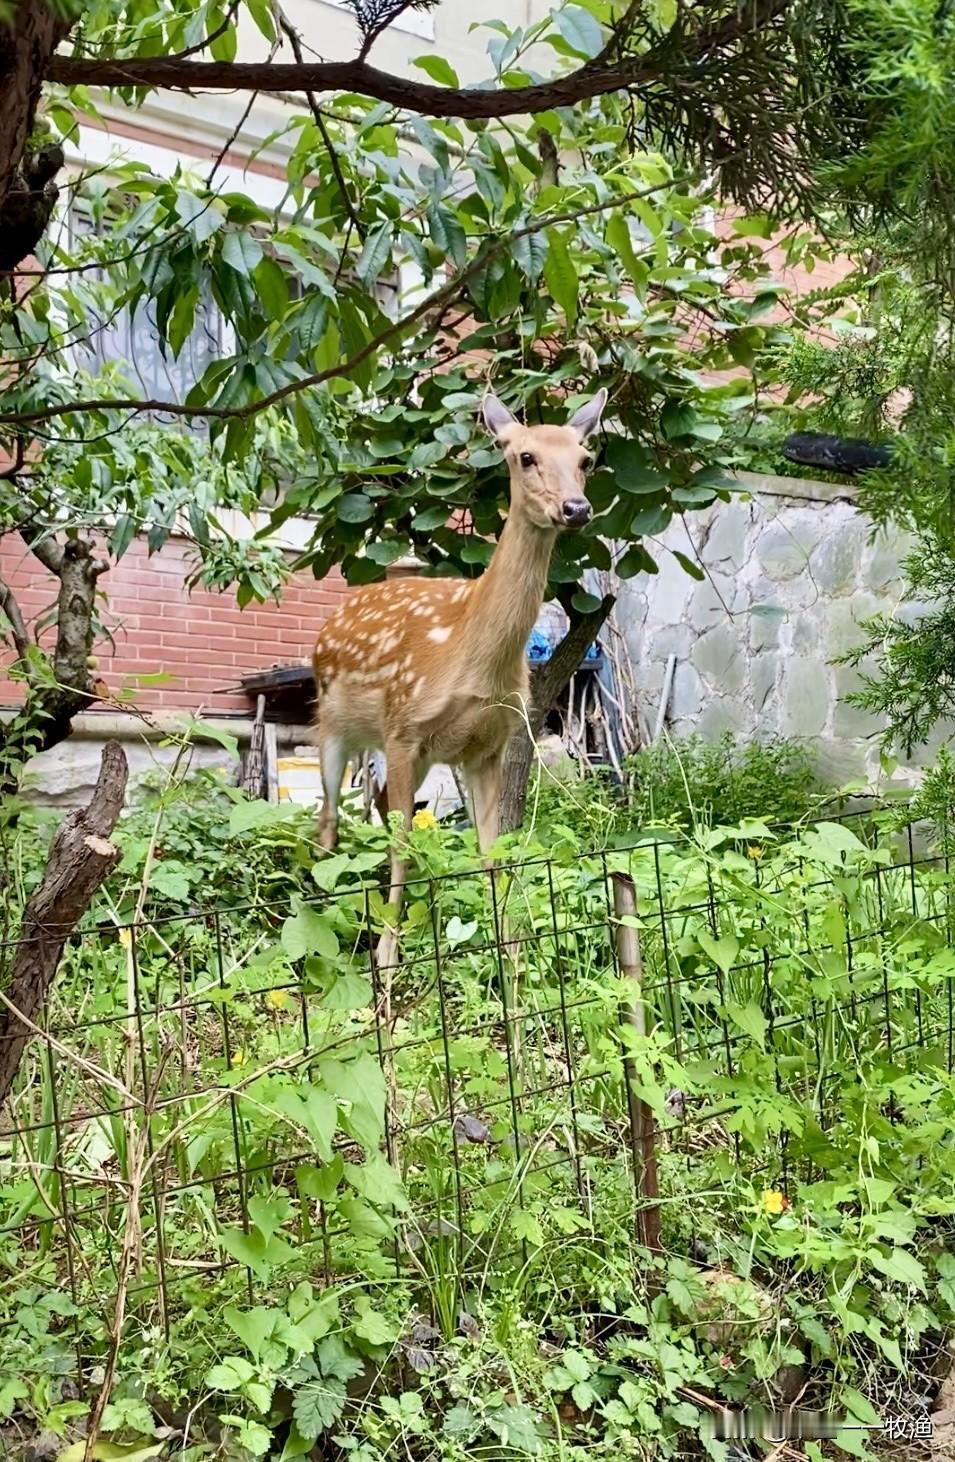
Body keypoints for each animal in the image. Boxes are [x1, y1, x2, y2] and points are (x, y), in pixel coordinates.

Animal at [312, 387, 607, 966]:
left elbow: (492, 851)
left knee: (375, 807)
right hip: (334, 728)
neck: (471, 659)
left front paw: (510, 957)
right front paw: (388, 959)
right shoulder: (403, 728)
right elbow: (402, 844)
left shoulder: (487, 746)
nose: (576, 508)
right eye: (525, 456)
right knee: (331, 819)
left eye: (586, 459)